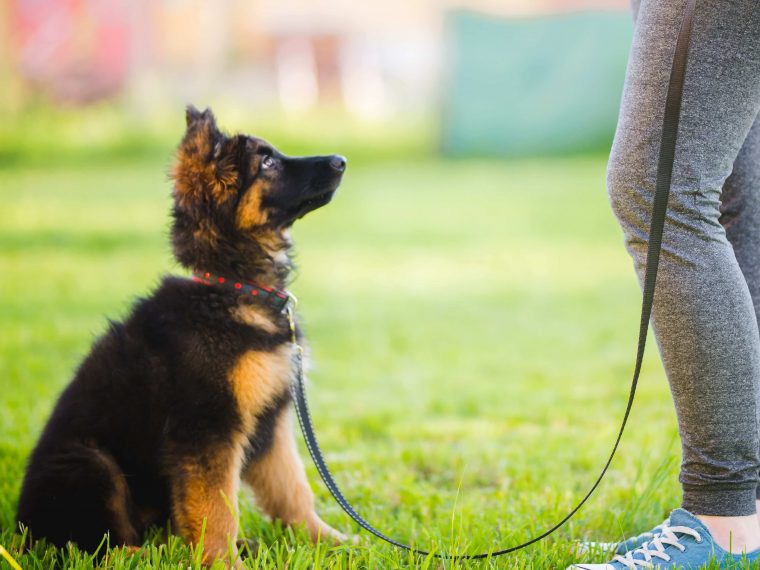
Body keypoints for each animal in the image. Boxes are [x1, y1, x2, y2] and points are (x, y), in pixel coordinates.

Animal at [16, 106, 348, 564]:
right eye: (266, 162)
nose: (341, 160)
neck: (232, 288)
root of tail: (20, 531)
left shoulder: (272, 421)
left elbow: (293, 489)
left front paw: (327, 540)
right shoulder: (207, 427)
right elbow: (216, 510)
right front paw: (224, 564)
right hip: (91, 462)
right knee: (96, 546)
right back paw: (146, 556)